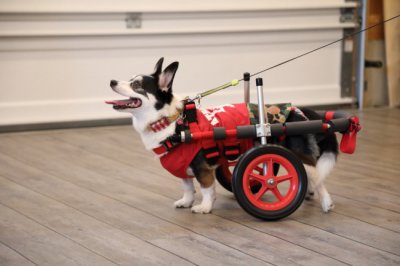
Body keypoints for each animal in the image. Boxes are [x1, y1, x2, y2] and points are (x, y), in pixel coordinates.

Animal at [106, 57, 338, 214]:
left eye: (136, 85)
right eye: (129, 79)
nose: (112, 81)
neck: (172, 122)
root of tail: (298, 111)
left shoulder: (202, 168)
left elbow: (207, 190)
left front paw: (204, 207)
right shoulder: (184, 168)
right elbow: (188, 188)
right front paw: (186, 202)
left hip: (298, 156)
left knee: (317, 177)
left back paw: (326, 202)